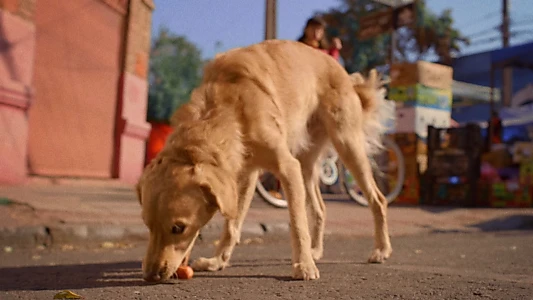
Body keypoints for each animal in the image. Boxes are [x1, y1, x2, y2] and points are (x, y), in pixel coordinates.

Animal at [137, 39, 392, 282]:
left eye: (178, 228)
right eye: (147, 226)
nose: (150, 275)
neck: (226, 107)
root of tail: (344, 74)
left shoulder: (286, 167)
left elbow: (297, 224)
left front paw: (304, 266)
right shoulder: (243, 176)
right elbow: (233, 224)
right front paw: (217, 261)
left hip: (347, 145)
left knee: (378, 200)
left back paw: (380, 250)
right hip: (306, 164)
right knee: (320, 207)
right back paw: (316, 250)